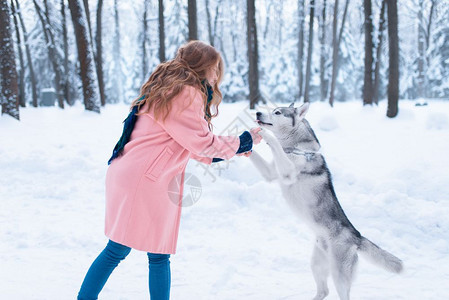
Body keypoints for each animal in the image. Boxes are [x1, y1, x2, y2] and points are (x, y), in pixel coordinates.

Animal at [250, 102, 400, 300]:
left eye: (277, 112)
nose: (257, 113)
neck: (297, 148)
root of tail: (357, 236)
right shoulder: (271, 172)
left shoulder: (288, 172)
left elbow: (275, 144)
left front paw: (264, 135)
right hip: (317, 263)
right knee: (323, 291)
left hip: (339, 276)